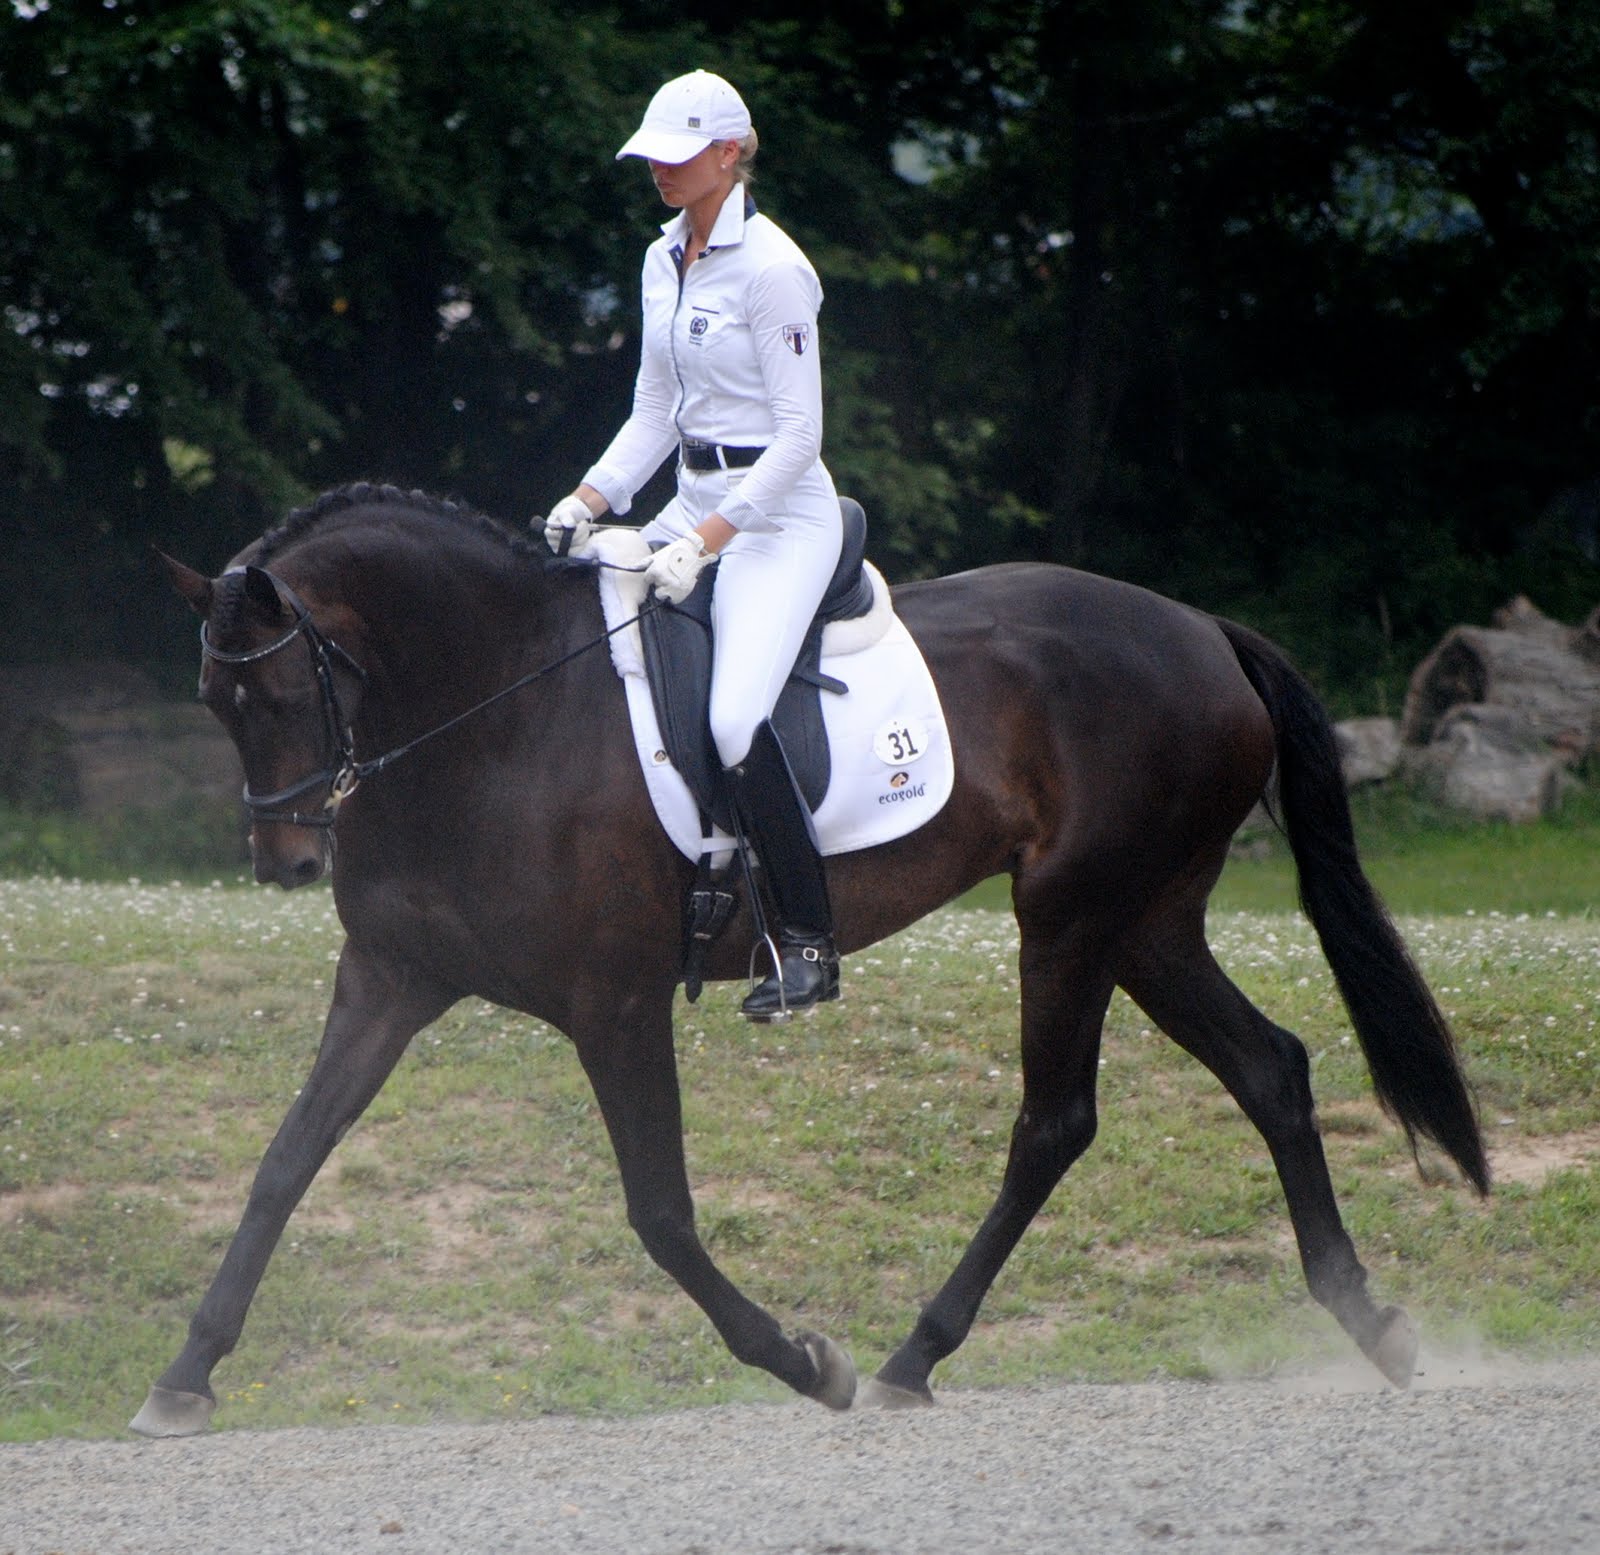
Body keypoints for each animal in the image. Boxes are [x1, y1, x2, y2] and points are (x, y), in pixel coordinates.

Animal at [133, 482, 1488, 1435]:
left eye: (281, 694)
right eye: (212, 702)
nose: (284, 860)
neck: (497, 708)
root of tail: (1200, 627)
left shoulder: (615, 1004)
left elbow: (661, 1213)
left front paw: (802, 1360)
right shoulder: (390, 981)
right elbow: (284, 1162)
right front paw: (184, 1376)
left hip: (1071, 917)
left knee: (1055, 1121)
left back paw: (905, 1358)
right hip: (1148, 924)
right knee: (1270, 1070)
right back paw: (1368, 1322)